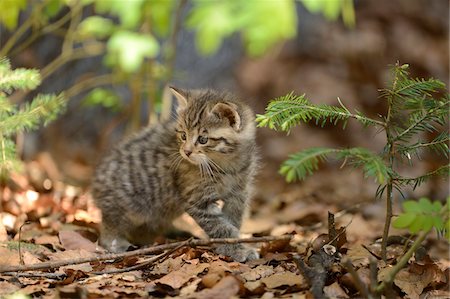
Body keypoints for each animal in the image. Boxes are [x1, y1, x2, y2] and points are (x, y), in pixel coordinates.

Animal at [92, 87, 260, 262]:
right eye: (183, 135)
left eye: (203, 139)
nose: (186, 152)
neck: (226, 165)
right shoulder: (198, 199)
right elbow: (219, 226)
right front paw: (234, 248)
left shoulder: (239, 193)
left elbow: (233, 220)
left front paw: (236, 244)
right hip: (131, 203)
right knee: (111, 223)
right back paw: (115, 243)